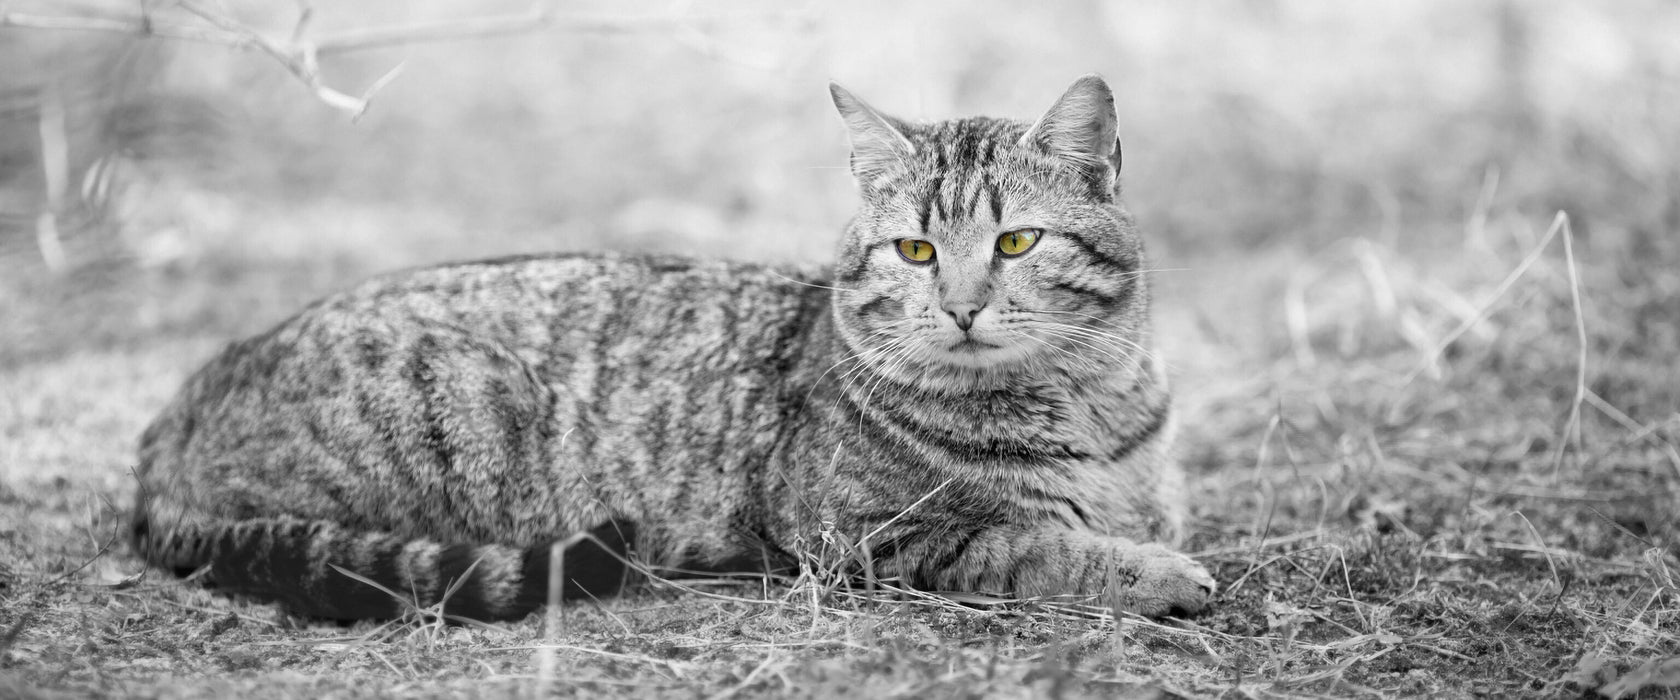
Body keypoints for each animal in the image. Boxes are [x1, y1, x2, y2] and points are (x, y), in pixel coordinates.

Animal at [127, 76, 1209, 617]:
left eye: (1015, 243)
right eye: (916, 250)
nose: (961, 306)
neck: (1085, 402)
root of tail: (174, 412)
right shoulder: (866, 531)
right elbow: (1034, 543)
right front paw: (1154, 574)